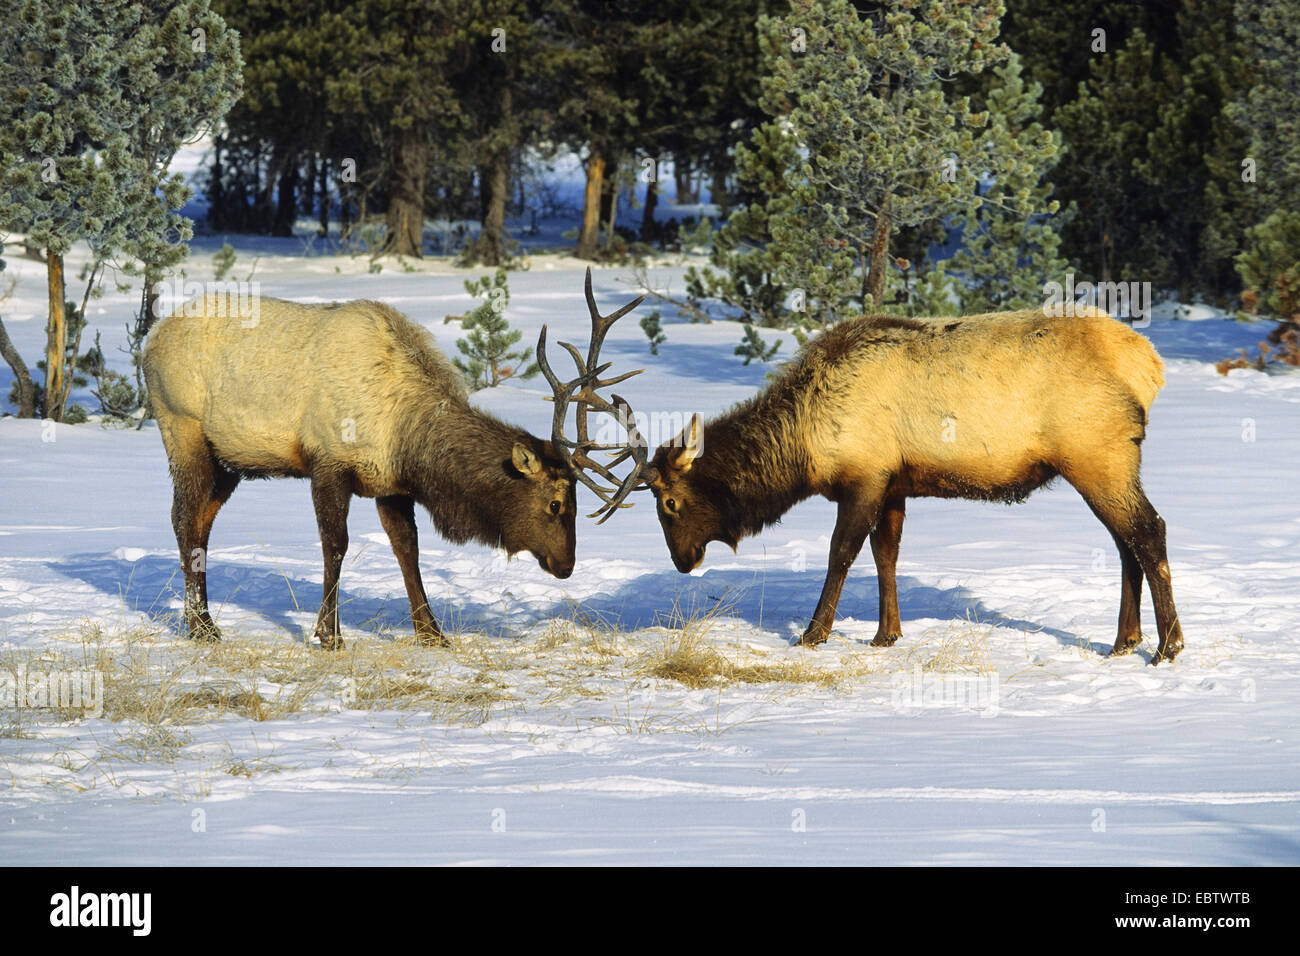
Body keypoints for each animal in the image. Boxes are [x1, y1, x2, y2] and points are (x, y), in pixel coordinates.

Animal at [142, 270, 645, 648]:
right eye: (556, 504)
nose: (566, 566)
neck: (408, 437)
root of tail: (150, 338)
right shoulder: (328, 461)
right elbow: (335, 546)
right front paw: (329, 635)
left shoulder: (392, 485)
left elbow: (409, 550)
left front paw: (432, 633)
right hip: (182, 427)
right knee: (183, 519)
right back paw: (201, 626)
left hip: (228, 460)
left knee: (201, 523)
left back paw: (201, 621)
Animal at [593, 308, 1185, 665]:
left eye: (670, 502)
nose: (683, 560)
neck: (803, 445)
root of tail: (1149, 364)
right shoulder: (896, 483)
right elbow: (886, 554)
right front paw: (886, 634)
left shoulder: (864, 475)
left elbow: (841, 553)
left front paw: (814, 633)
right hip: (1106, 462)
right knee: (1125, 543)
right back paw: (1123, 641)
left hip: (1096, 454)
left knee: (1148, 531)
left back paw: (1167, 646)